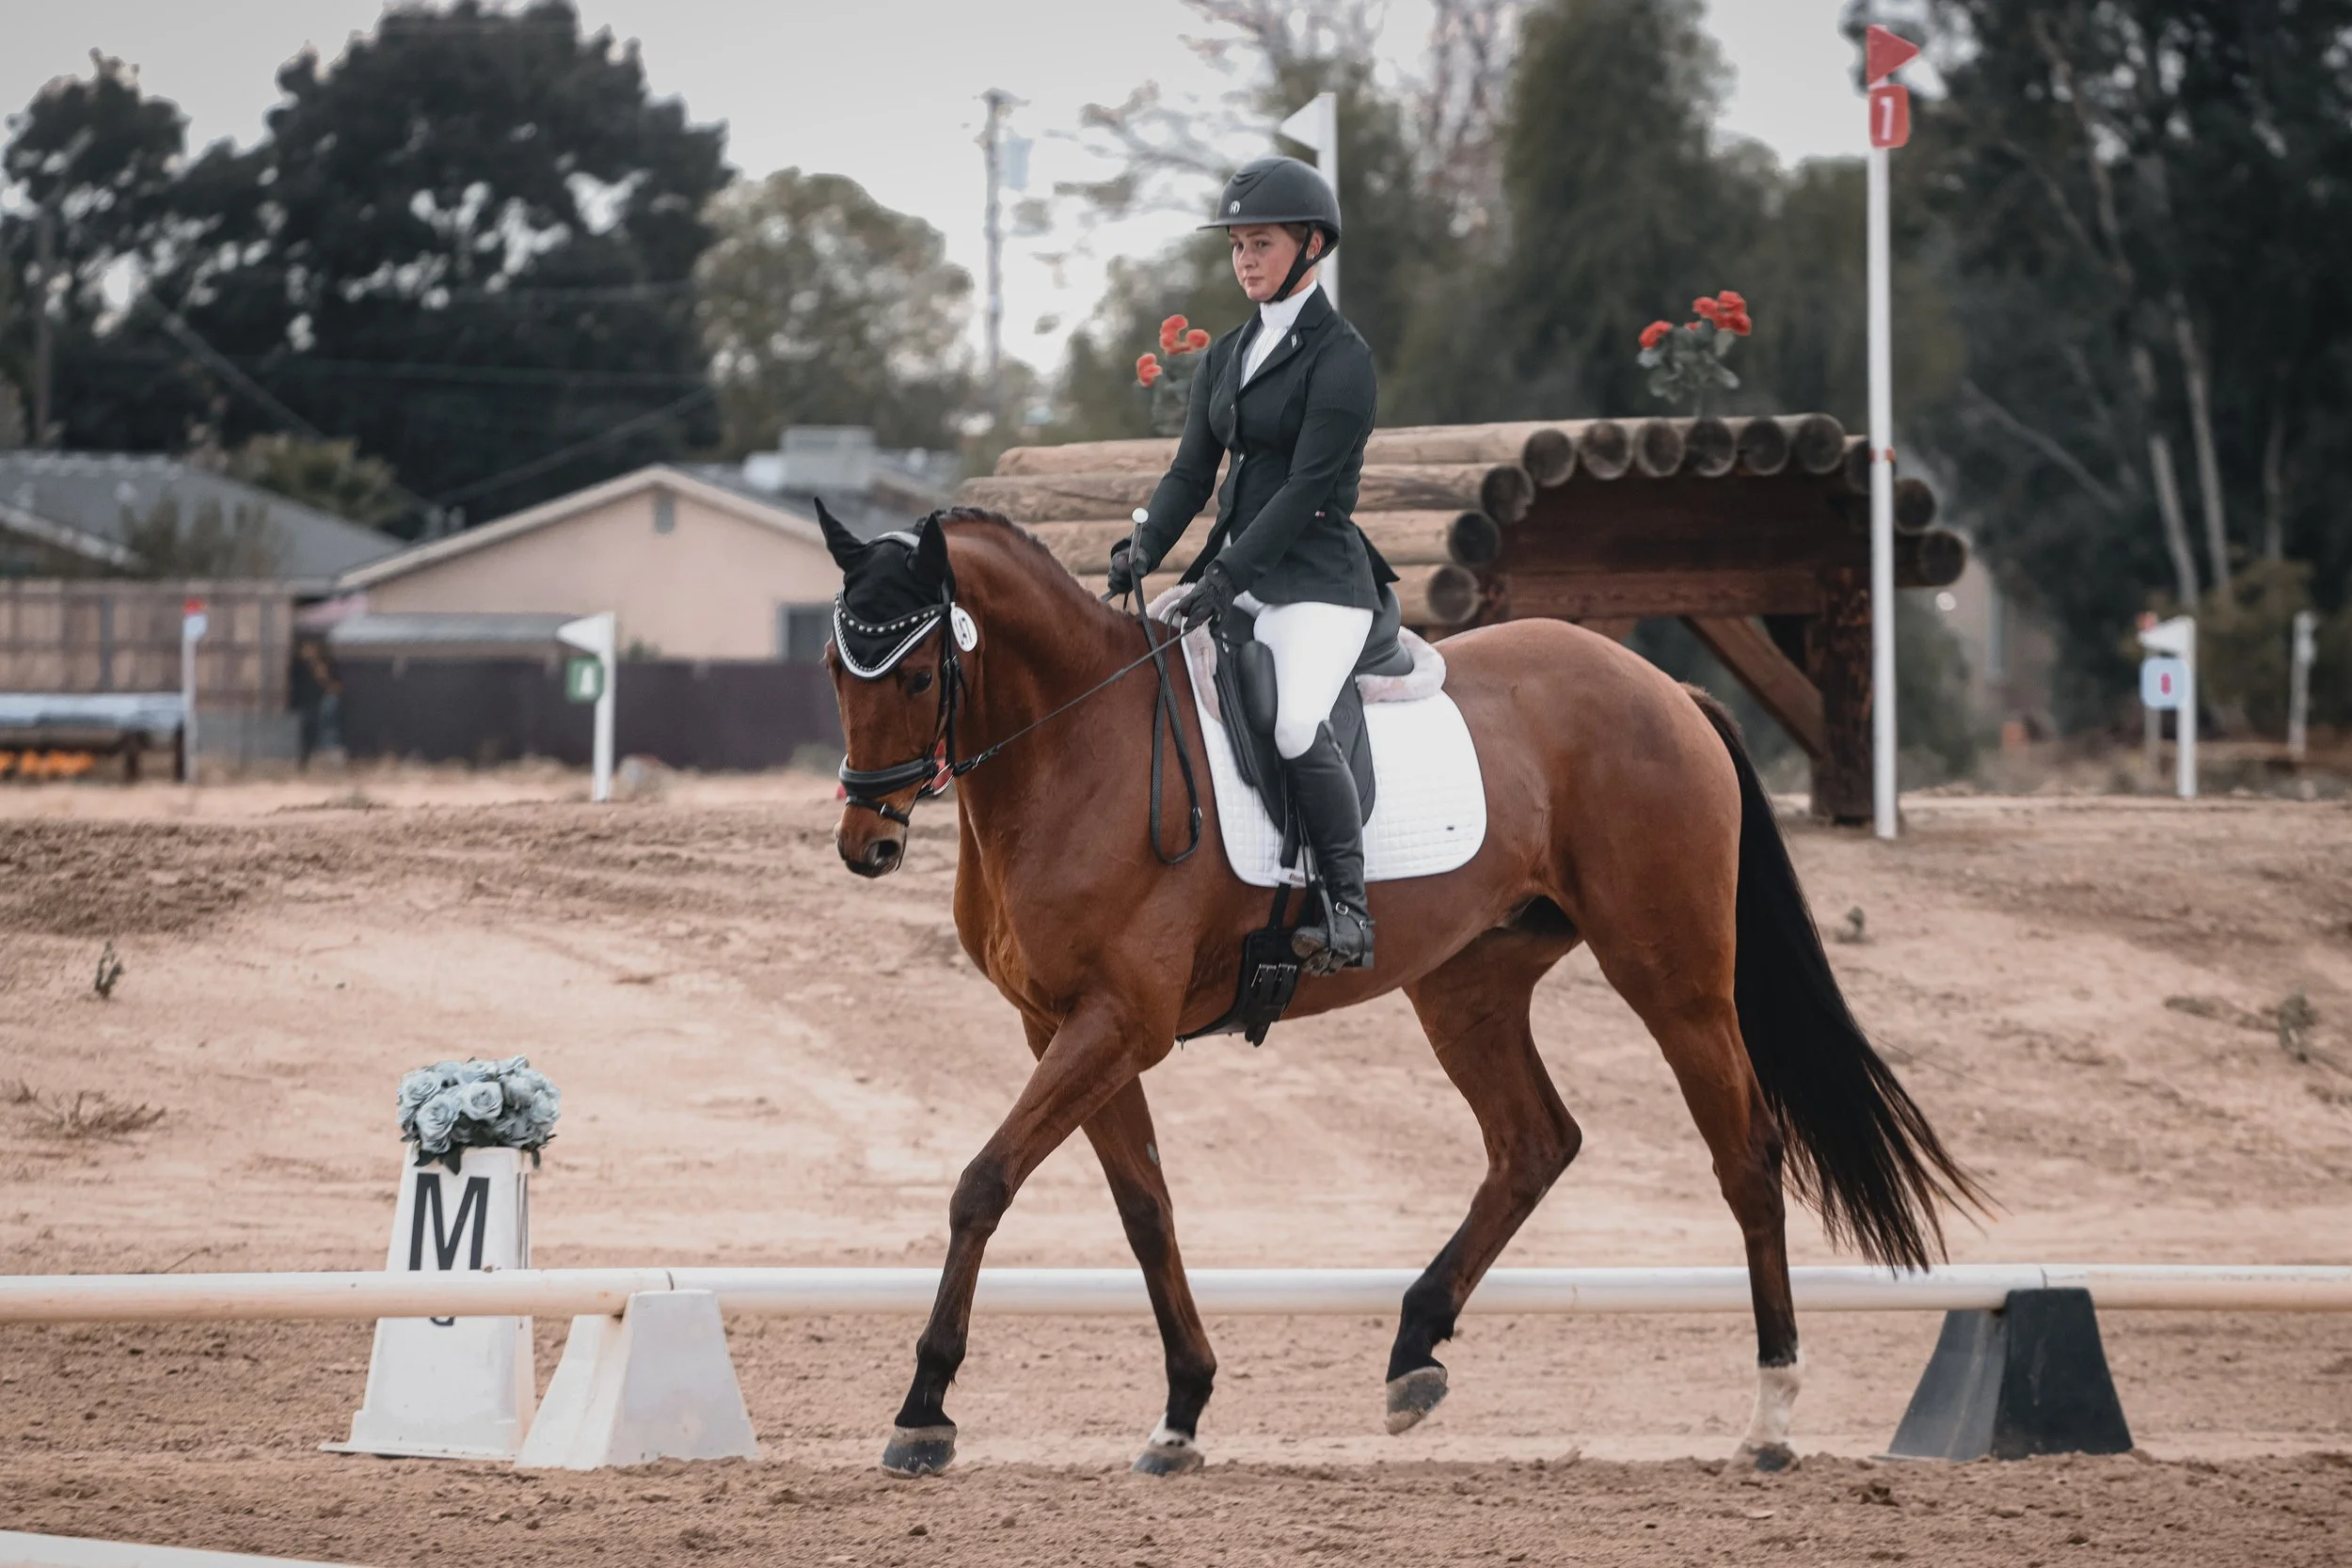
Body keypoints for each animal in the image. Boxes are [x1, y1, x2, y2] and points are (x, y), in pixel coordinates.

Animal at [818, 503, 1980, 1478]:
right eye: (837, 669)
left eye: (915, 678)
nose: (867, 844)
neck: (1071, 745)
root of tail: (1664, 689)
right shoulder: (1059, 1024)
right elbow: (1145, 1207)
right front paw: (1181, 1410)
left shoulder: (1117, 1022)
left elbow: (983, 1183)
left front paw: (922, 1412)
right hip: (1467, 986)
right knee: (1534, 1141)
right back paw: (1415, 1349)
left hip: (1672, 975)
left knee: (1744, 1153)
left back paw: (1770, 1413)